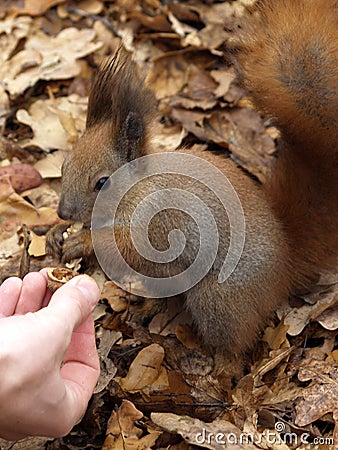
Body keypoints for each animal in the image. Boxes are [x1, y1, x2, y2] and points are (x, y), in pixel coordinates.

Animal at [46, 0, 336, 358]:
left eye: (102, 183)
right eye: (64, 166)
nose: (62, 212)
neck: (139, 189)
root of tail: (283, 268)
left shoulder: (160, 222)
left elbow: (129, 248)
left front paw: (81, 241)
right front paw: (55, 234)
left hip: (217, 298)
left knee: (234, 346)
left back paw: (220, 367)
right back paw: (147, 310)